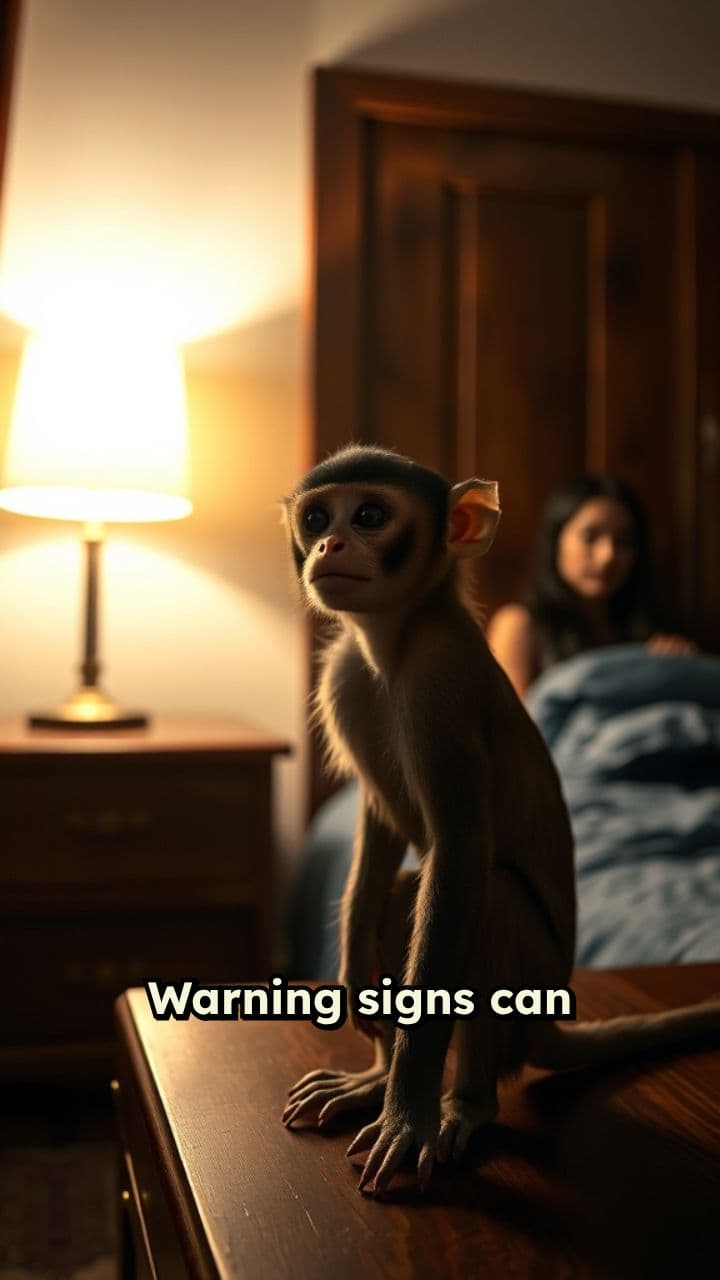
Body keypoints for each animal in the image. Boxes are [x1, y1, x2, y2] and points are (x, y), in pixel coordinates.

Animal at [280, 443, 720, 1195]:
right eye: (316, 518)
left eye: (368, 515)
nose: (330, 543)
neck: (393, 644)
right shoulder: (343, 678)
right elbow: (380, 825)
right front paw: (356, 980)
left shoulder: (441, 682)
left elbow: (461, 852)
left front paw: (409, 1114)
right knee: (402, 897)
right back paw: (373, 1079)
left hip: (535, 976)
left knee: (492, 900)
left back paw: (466, 1104)